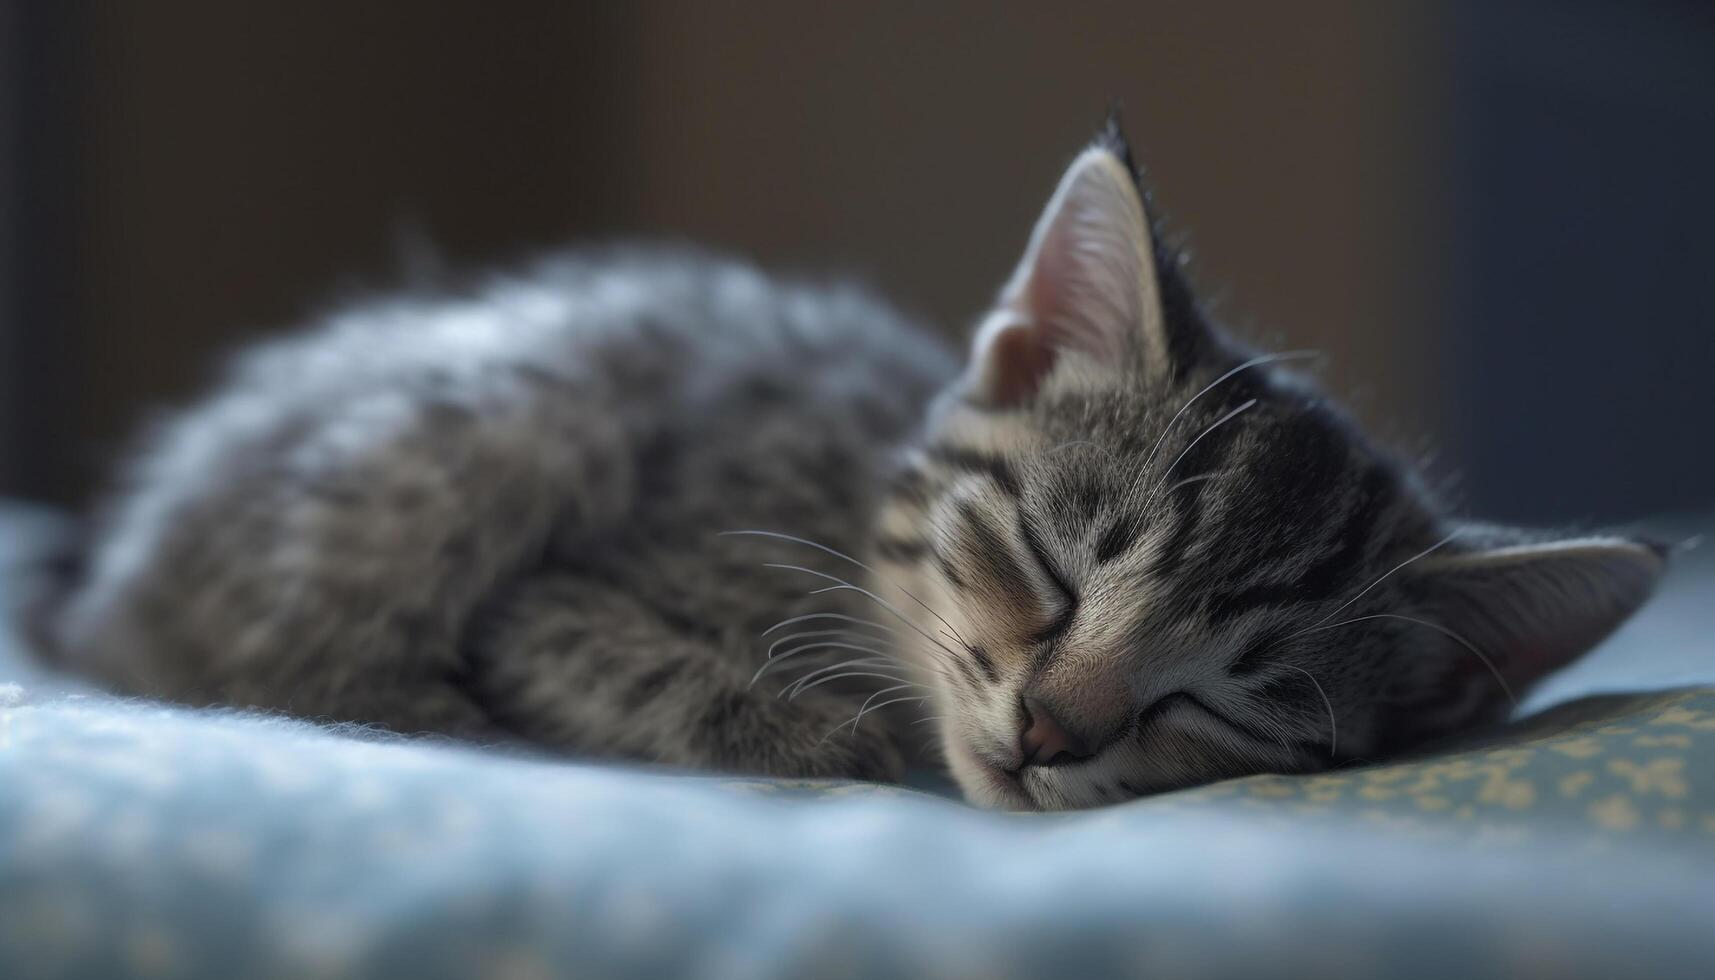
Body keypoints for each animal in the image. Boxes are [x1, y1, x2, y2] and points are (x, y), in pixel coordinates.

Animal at [50, 124, 1660, 813]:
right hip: (512, 412)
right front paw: (815, 731)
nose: (1049, 733)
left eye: (1230, 702)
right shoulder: (560, 594)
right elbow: (617, 656)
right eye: (1050, 567)